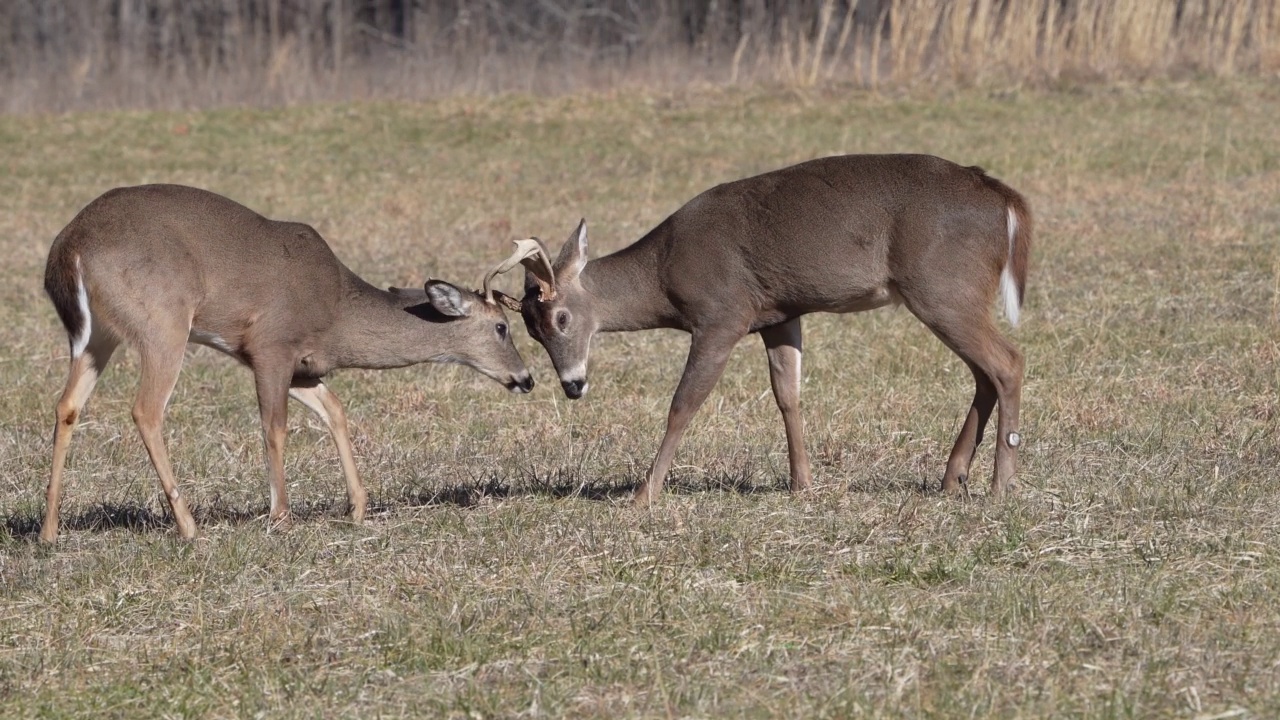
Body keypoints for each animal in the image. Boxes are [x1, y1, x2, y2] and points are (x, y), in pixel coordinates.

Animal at [42, 181, 537, 540]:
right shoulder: (270, 346)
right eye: (501, 327)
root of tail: (68, 248)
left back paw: (50, 530)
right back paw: (189, 526)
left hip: (98, 335)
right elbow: (275, 428)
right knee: (146, 410)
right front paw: (281, 516)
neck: (336, 312)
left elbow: (335, 410)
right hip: (162, 321)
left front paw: (358, 507)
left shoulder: (299, 365)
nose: (526, 378)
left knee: (67, 405)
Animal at [494, 151, 1034, 504]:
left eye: (561, 318)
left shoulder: (721, 314)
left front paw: (644, 494)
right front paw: (802, 483)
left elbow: (683, 404)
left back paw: (1000, 485)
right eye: (530, 330)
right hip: (952, 294)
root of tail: (1005, 200)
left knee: (1008, 361)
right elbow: (788, 394)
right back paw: (952, 478)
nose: (573, 385)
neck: (663, 274)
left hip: (941, 287)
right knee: (984, 373)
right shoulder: (780, 315)